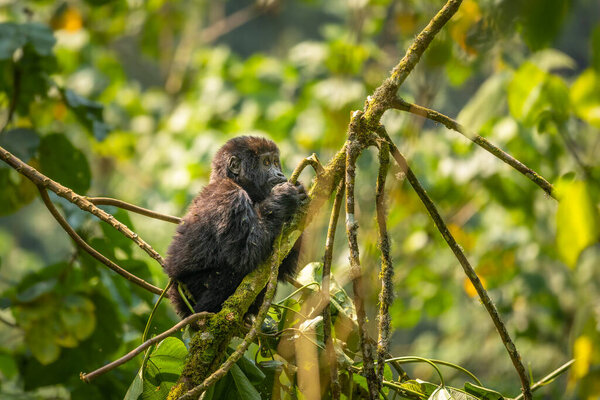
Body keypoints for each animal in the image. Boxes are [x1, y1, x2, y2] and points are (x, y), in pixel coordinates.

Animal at [164, 136, 304, 318]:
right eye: (266, 163)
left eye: (275, 162)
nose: (280, 174)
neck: (234, 181)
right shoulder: (230, 197)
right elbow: (244, 256)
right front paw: (282, 198)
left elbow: (281, 264)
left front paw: (302, 194)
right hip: (189, 292)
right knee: (230, 273)